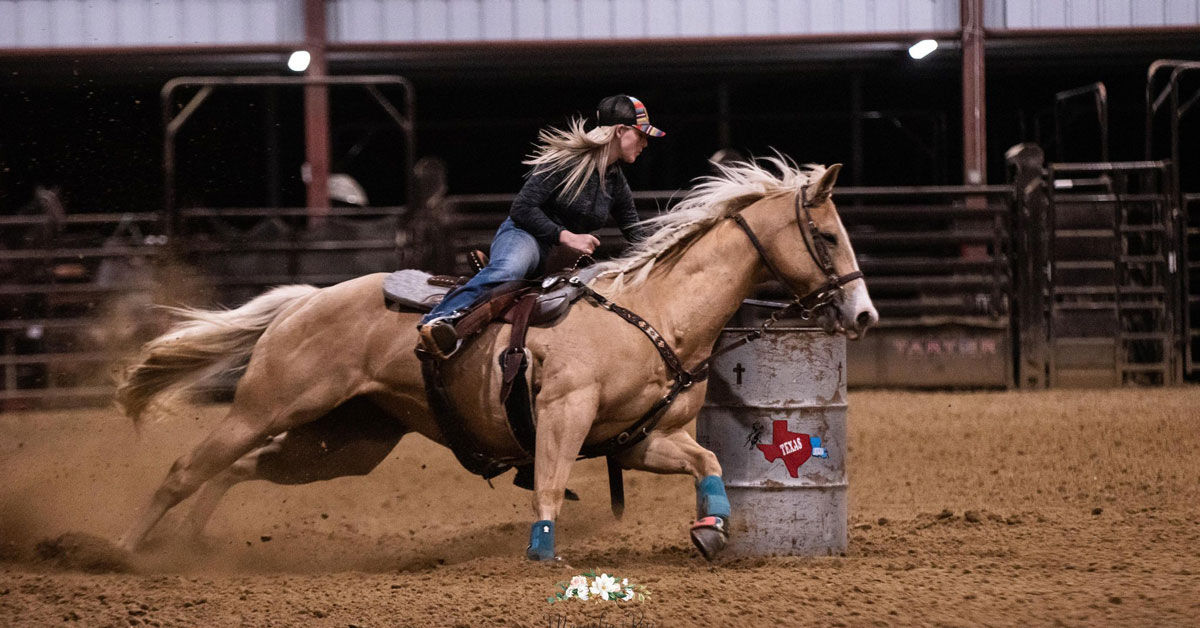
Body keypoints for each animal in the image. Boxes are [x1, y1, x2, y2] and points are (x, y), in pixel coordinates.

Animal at [117, 159, 878, 561]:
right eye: (828, 236)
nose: (864, 315)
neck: (654, 312)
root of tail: (305, 301)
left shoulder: (637, 440)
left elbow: (710, 461)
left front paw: (712, 528)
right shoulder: (564, 412)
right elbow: (548, 484)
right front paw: (543, 550)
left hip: (343, 442)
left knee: (238, 468)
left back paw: (189, 544)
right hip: (268, 403)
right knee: (190, 467)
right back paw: (125, 551)